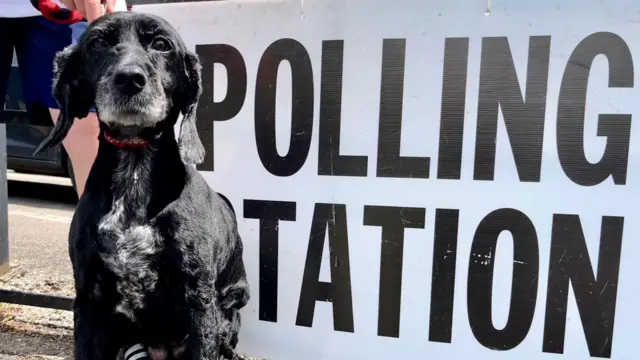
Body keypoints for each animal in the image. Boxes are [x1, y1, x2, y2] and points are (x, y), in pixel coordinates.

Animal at [34, 11, 250, 360]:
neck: (134, 170)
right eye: (98, 42)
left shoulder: (199, 301)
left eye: (161, 44)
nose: (129, 78)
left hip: (229, 311)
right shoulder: (89, 302)